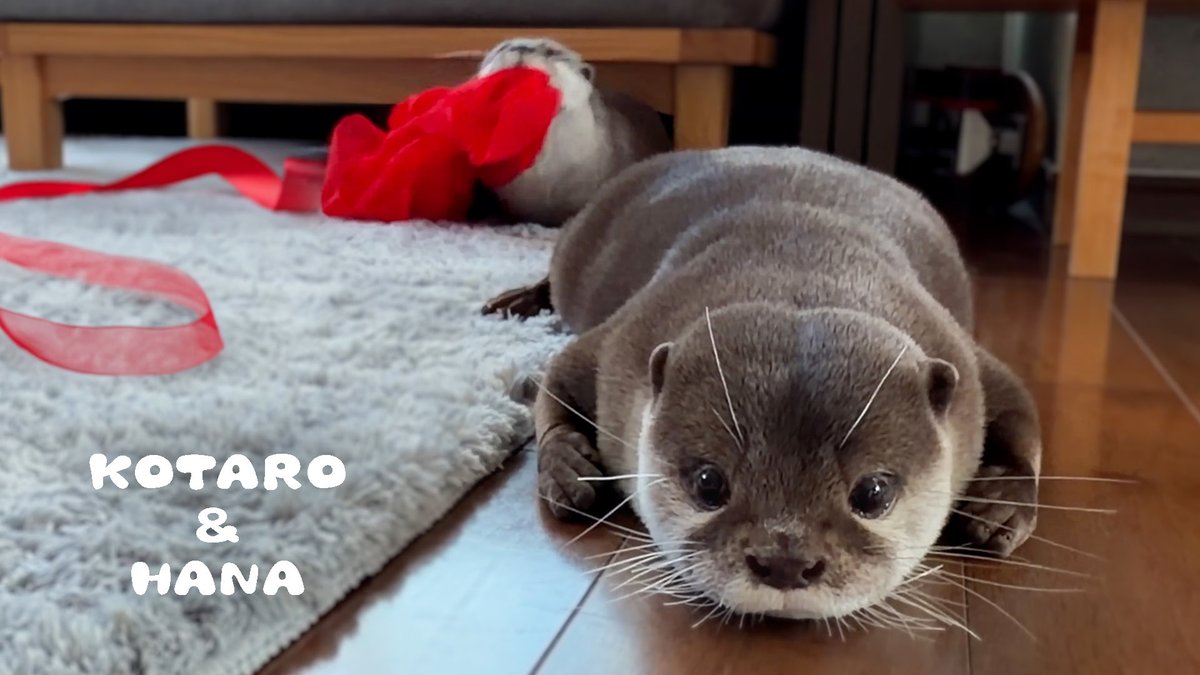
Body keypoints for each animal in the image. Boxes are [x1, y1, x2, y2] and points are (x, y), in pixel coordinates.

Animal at [485, 146, 1042, 620]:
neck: (801, 266)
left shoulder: (967, 365)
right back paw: (515, 300)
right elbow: (558, 377)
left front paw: (999, 503)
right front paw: (568, 466)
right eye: (708, 482)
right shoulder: (616, 346)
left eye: (873, 493)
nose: (786, 561)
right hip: (578, 242)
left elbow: (1020, 411)